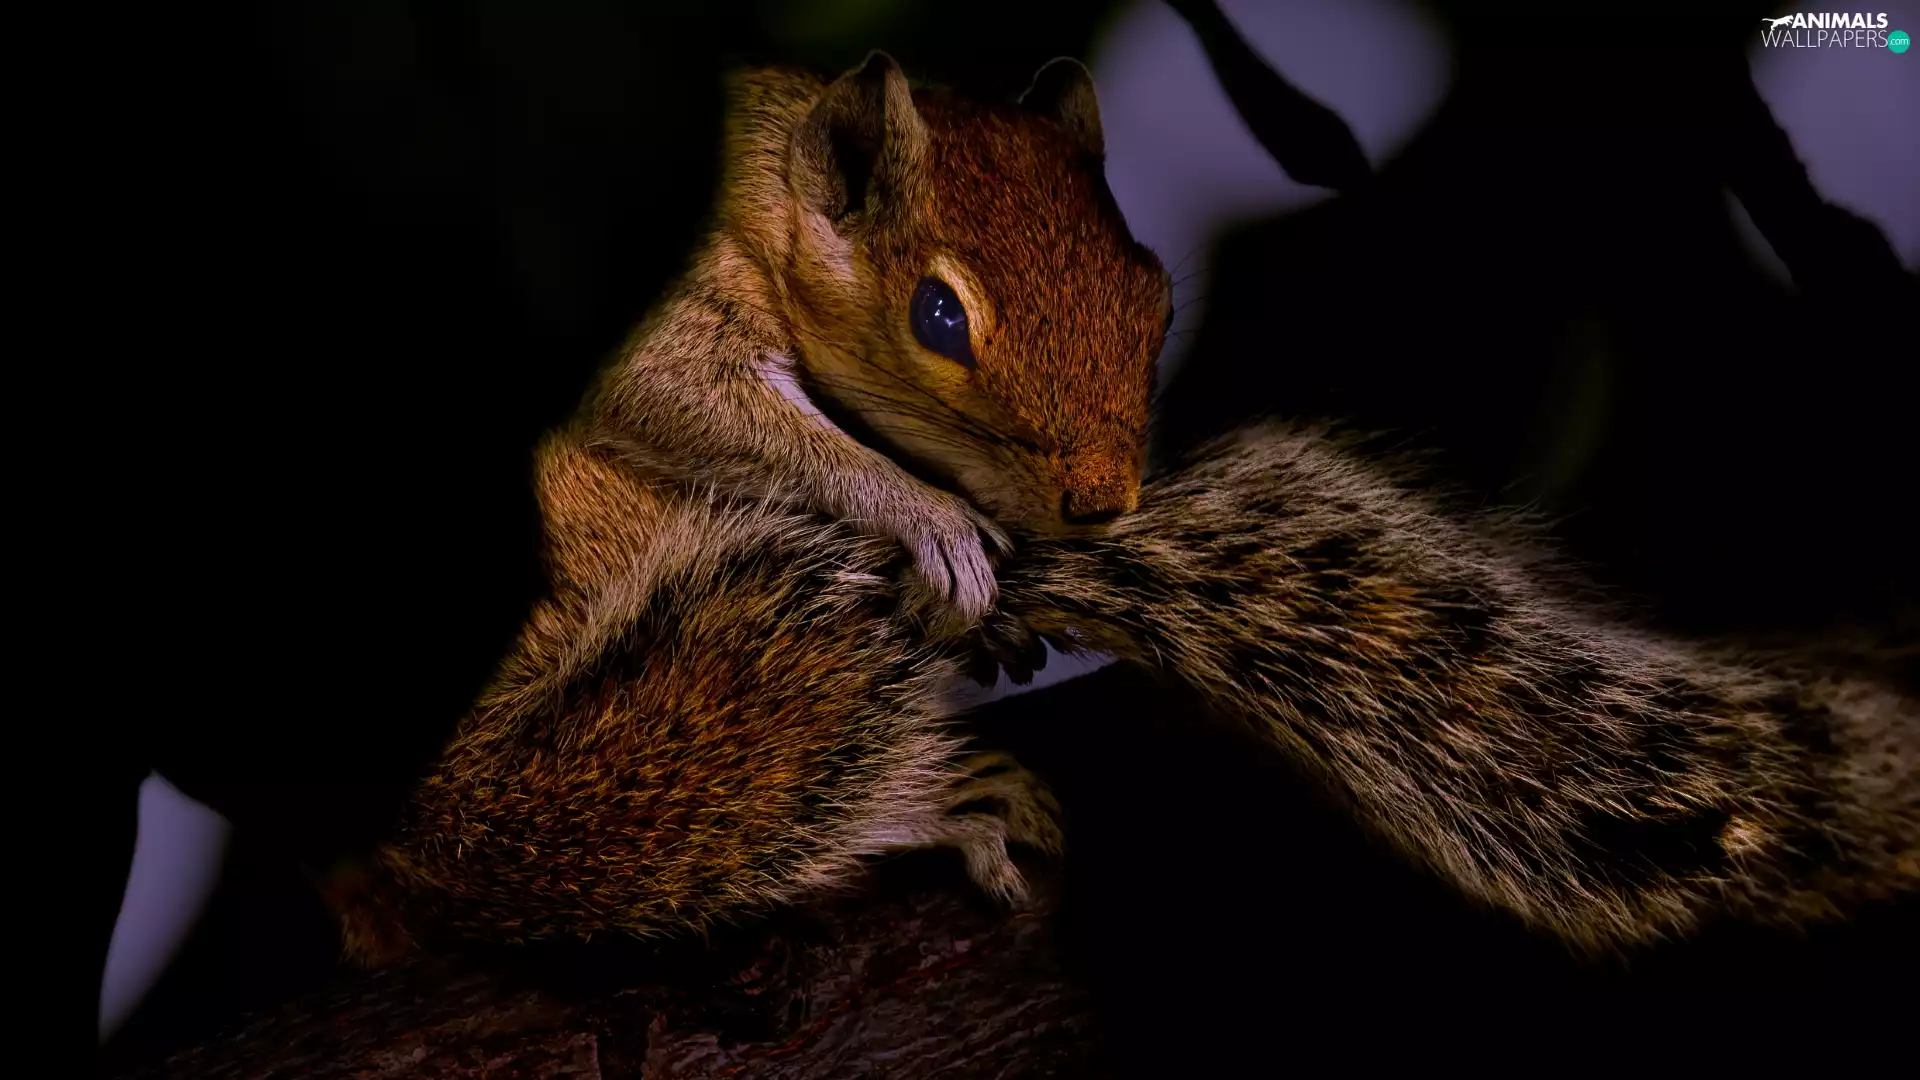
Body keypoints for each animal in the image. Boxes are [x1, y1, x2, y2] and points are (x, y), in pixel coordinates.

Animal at [583, 51, 1170, 628]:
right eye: (939, 316)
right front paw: (940, 522)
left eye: (1159, 303)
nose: (1103, 500)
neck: (779, 187)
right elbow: (665, 386)